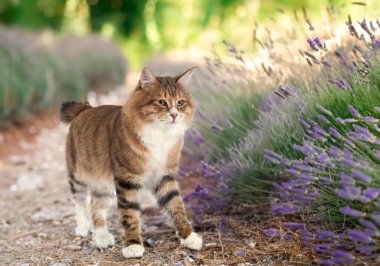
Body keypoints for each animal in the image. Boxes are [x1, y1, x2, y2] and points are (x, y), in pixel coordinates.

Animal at [59, 66, 202, 258]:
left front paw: (188, 237)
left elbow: (176, 207)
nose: (174, 115)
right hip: (78, 176)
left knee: (96, 207)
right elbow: (130, 214)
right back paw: (83, 227)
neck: (160, 135)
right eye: (162, 102)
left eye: (180, 102)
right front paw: (133, 245)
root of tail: (84, 109)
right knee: (80, 201)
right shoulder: (127, 179)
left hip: (104, 185)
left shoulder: (164, 177)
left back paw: (102, 236)